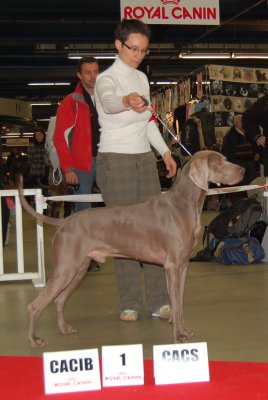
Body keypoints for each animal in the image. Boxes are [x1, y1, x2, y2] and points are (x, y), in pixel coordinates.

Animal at [18, 150, 245, 346]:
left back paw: (64, 329)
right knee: (34, 305)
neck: (184, 204)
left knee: (58, 300)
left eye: (225, 159)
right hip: (66, 268)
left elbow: (178, 301)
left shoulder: (182, 266)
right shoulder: (172, 266)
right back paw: (34, 340)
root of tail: (64, 222)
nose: (242, 170)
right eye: (218, 162)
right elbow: (176, 301)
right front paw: (179, 335)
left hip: (79, 268)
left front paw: (183, 329)